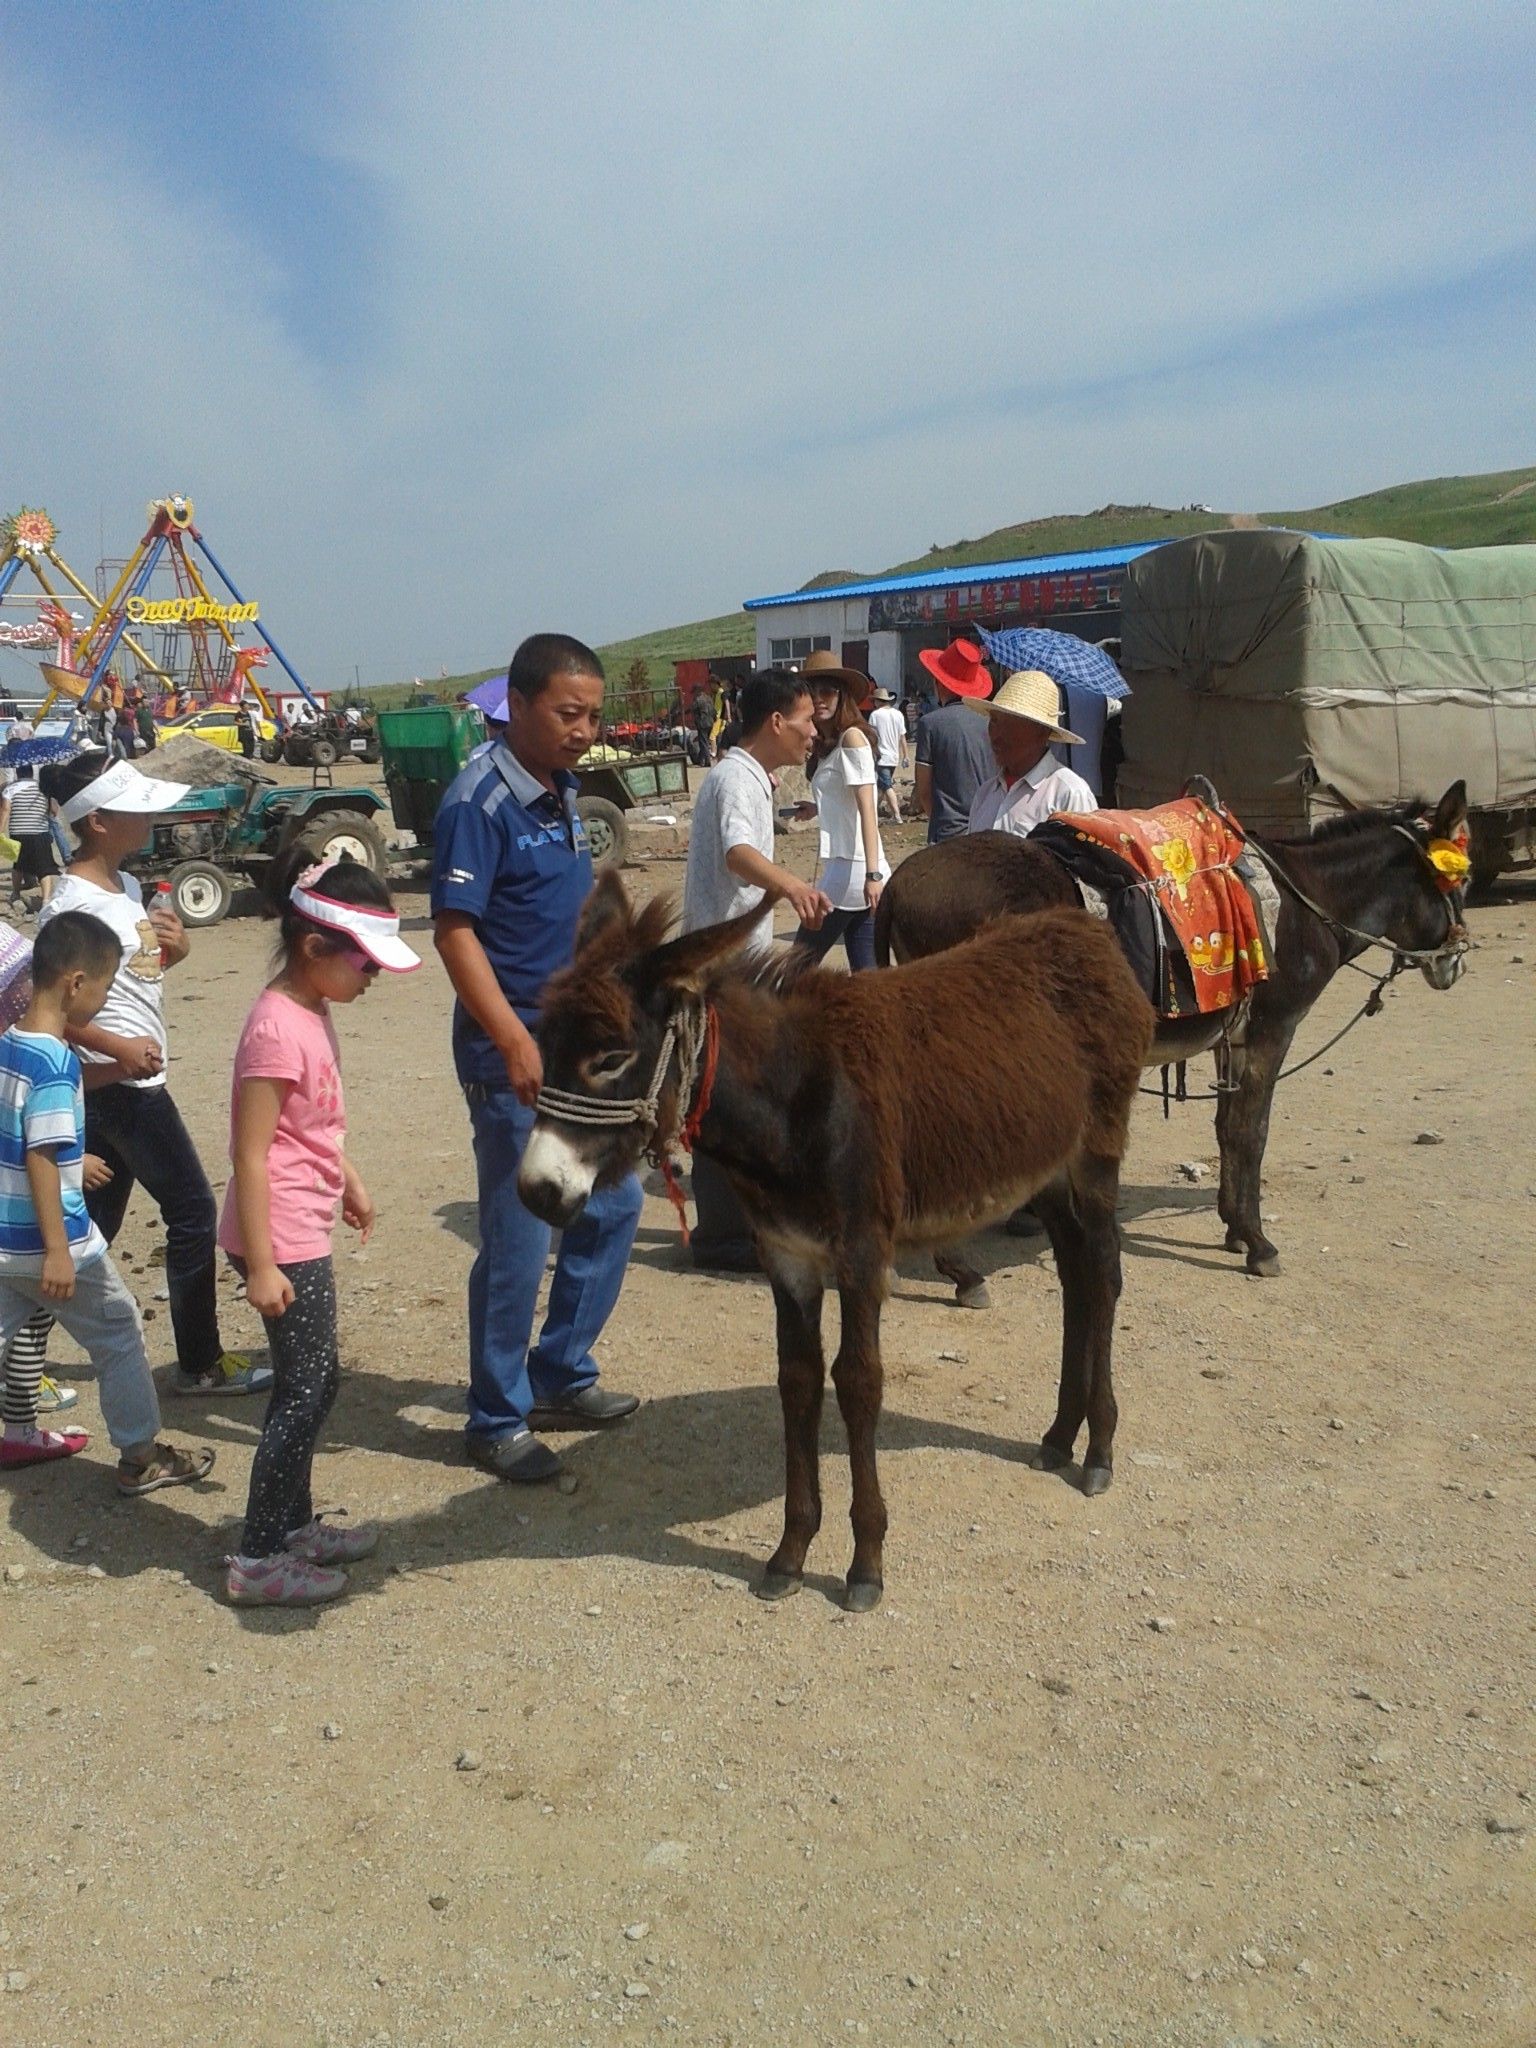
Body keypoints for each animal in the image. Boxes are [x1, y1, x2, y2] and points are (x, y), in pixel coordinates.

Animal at [520, 872, 1155, 1605]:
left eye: (612, 1056)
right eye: (544, 1045)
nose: (535, 1191)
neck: (796, 1098)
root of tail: (1085, 930)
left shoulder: (860, 1253)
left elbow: (857, 1381)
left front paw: (866, 1564)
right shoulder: (787, 1255)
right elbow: (797, 1380)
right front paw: (790, 1554)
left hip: (1096, 1155)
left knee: (1103, 1276)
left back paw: (1099, 1450)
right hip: (1044, 1170)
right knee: (1077, 1278)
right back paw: (1059, 1435)